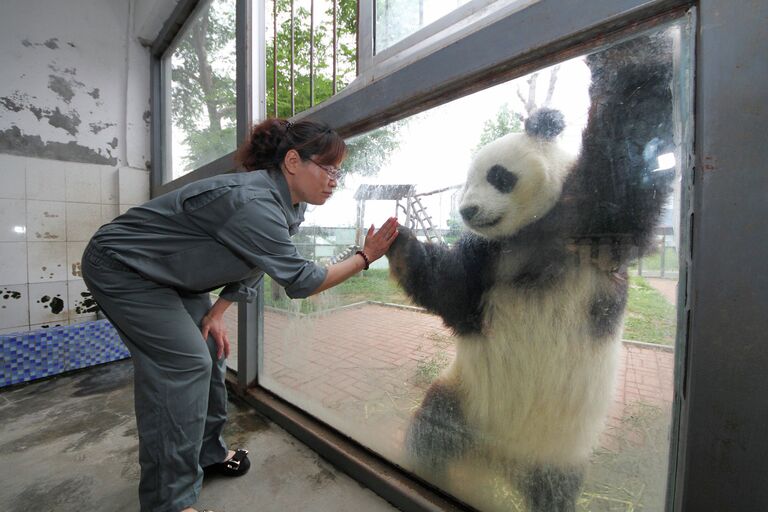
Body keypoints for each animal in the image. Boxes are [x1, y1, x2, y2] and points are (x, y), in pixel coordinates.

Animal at [388, 32, 676, 512]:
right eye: (465, 183)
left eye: (497, 175)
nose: (468, 211)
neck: (531, 230)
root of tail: (499, 462)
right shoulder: (489, 256)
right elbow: (453, 292)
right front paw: (399, 243)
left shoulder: (586, 220)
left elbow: (628, 143)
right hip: (463, 401)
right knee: (433, 431)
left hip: (559, 452)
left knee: (554, 490)